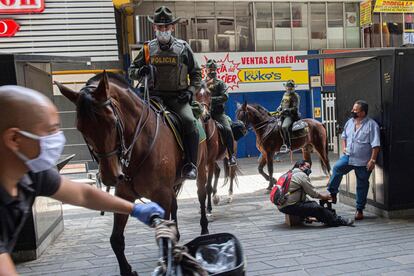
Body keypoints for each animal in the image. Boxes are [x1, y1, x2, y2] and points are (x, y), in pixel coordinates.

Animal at [55, 71, 207, 276]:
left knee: (202, 196)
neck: (139, 147)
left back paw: (204, 229)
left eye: (112, 122)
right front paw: (127, 270)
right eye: (80, 128)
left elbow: (163, 238)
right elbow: (116, 239)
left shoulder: (161, 194)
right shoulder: (124, 195)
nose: (110, 176)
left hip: (201, 170)